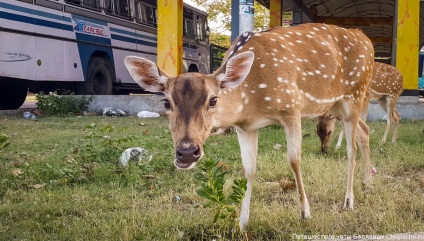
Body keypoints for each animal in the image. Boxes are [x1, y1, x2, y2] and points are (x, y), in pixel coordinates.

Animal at [125, 23, 374, 230]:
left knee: (351, 148)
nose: (187, 152)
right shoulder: (245, 127)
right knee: (365, 131)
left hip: (355, 94)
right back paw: (367, 183)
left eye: (213, 100)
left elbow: (294, 160)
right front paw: (242, 223)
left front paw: (305, 213)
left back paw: (349, 200)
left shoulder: (292, 107)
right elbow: (248, 170)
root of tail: (367, 40)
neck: (251, 100)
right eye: (166, 102)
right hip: (335, 105)